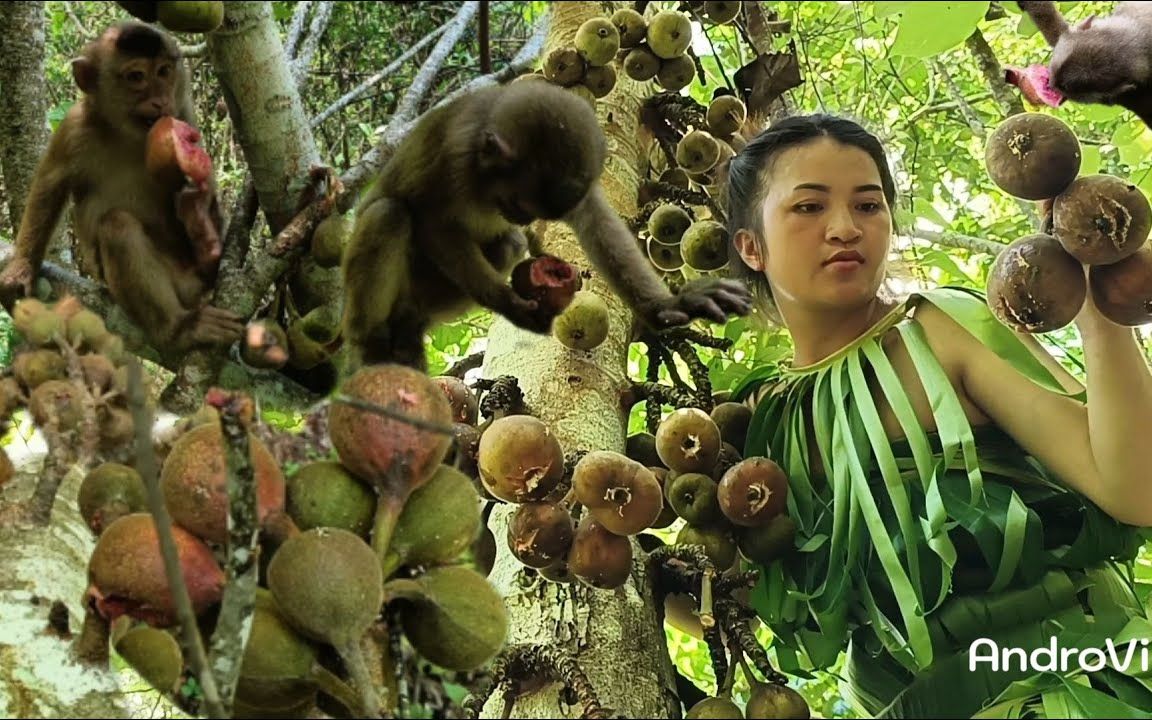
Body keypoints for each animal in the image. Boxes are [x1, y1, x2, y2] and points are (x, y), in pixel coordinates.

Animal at [0, 22, 243, 357]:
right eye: (136, 76)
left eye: (164, 71)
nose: (160, 101)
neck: (129, 135)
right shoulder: (73, 128)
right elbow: (50, 185)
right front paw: (22, 267)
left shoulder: (182, 110)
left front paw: (199, 198)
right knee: (117, 225)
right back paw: (178, 329)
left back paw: (205, 240)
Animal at [340, 79, 755, 370]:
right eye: (517, 202)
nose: (521, 217)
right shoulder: (452, 157)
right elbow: (432, 221)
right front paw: (509, 304)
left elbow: (596, 223)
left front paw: (668, 304)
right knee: (389, 214)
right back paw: (370, 343)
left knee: (506, 244)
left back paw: (410, 326)